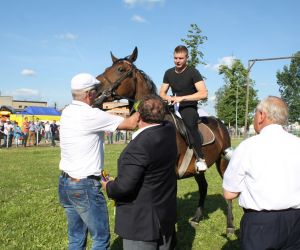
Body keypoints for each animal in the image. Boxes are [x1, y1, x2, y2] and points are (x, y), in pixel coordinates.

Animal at [96, 47, 234, 234]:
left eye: (121, 69)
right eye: (107, 68)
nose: (95, 89)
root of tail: (220, 123)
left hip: (223, 162)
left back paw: (230, 225)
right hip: (199, 170)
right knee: (203, 187)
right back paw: (197, 218)